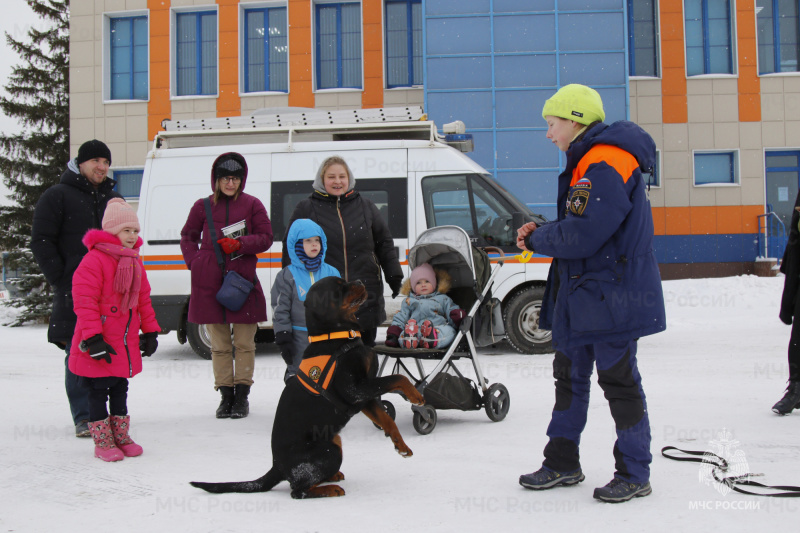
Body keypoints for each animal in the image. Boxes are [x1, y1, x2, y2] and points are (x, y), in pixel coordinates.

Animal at [191, 276, 424, 496]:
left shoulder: (363, 397)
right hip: (330, 450)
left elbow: (386, 419)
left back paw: (332, 477)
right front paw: (416, 395)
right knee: (298, 490)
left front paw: (401, 445)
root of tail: (277, 467)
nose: (359, 281)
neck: (338, 336)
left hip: (335, 440)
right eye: (339, 287)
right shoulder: (354, 389)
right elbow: (397, 377)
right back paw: (329, 489)